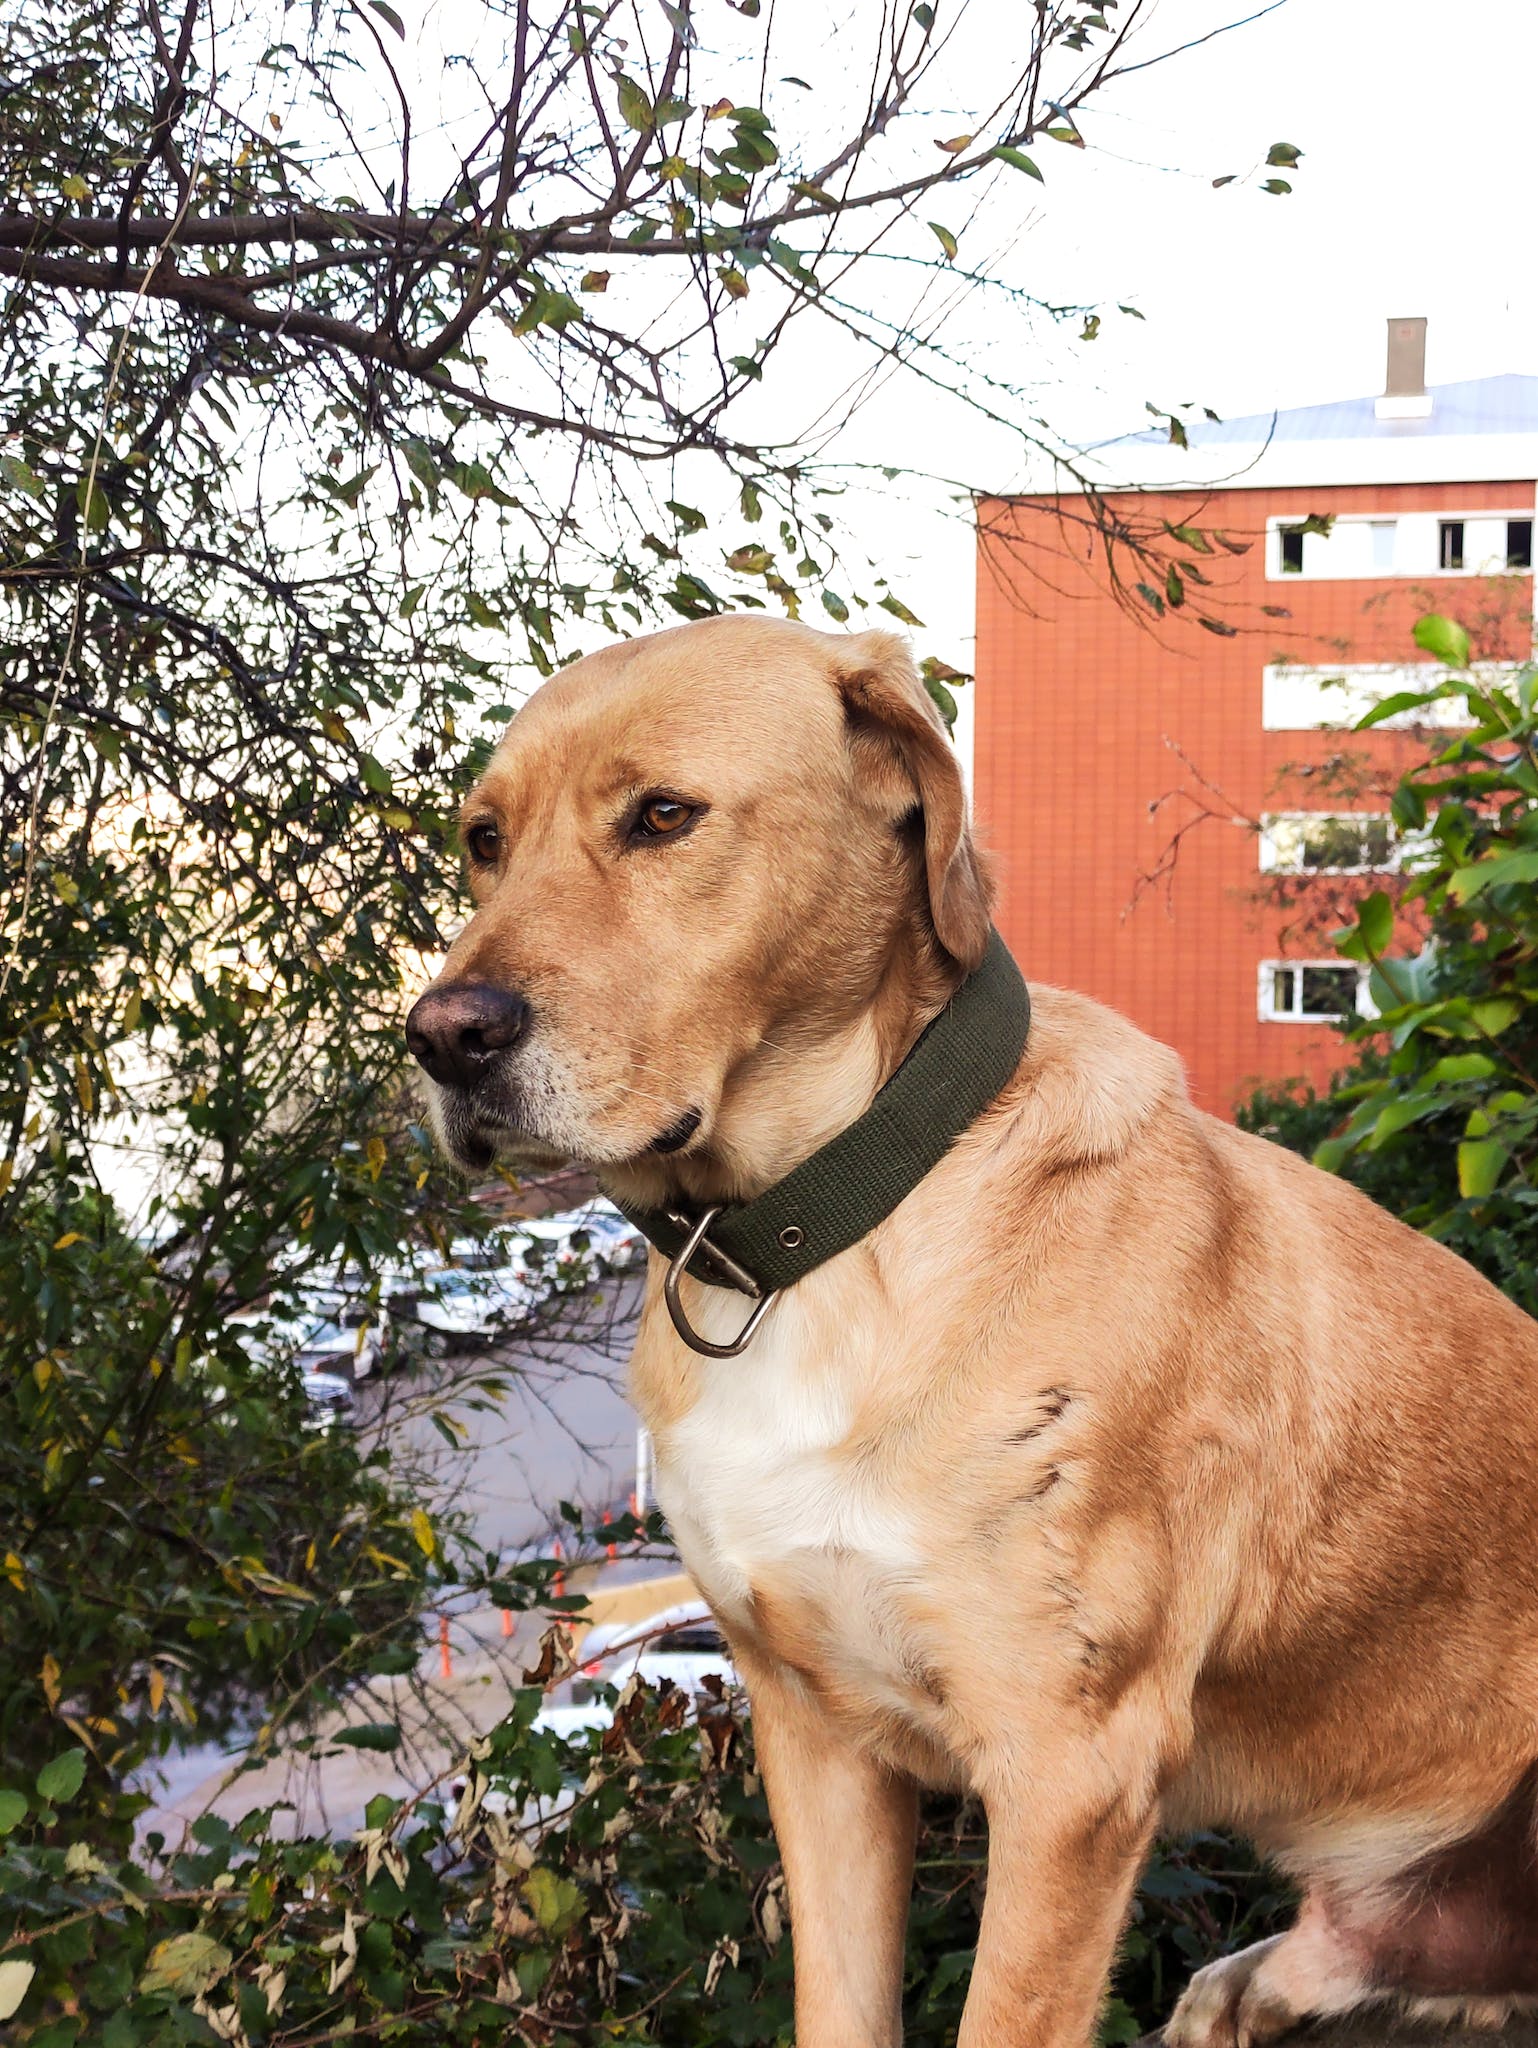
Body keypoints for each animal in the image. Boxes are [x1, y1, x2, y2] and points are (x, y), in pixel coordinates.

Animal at [405, 614, 1538, 2048]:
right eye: (482, 840)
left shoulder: (1068, 1781)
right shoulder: (817, 1739)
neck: (810, 1243)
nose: (441, 1037)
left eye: (662, 815)